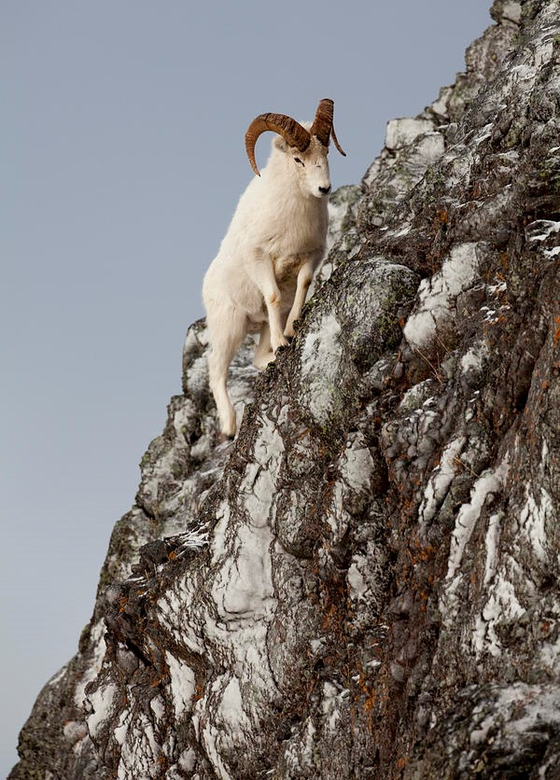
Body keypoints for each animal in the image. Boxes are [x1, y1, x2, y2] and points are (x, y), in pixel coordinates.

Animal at [203, 98, 344, 438]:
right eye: (298, 159)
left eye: (326, 153)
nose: (324, 189)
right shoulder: (260, 260)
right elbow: (274, 297)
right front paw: (283, 342)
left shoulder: (310, 258)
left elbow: (300, 288)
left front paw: (291, 332)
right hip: (229, 328)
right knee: (216, 370)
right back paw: (229, 426)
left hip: (258, 326)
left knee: (256, 360)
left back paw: (270, 360)